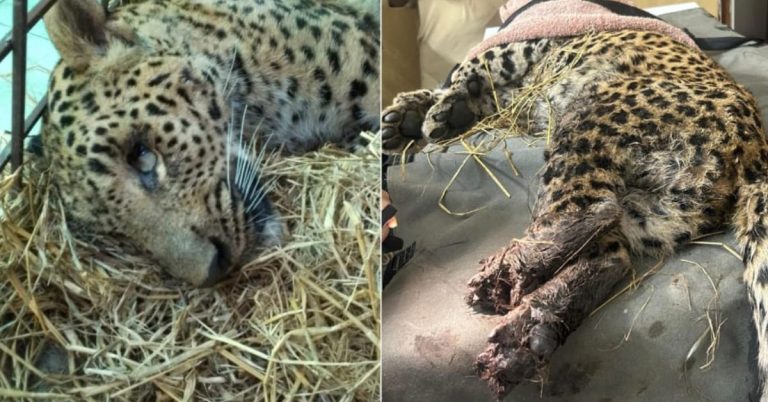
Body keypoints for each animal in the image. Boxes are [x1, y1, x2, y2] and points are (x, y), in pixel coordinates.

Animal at [381, 29, 768, 399]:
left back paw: (509, 280)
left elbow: (469, 68)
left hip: (591, 117)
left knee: (589, 211)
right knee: (611, 254)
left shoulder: (517, 52)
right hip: (652, 212)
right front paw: (417, 115)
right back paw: (529, 334)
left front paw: (432, 111)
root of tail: (753, 151)